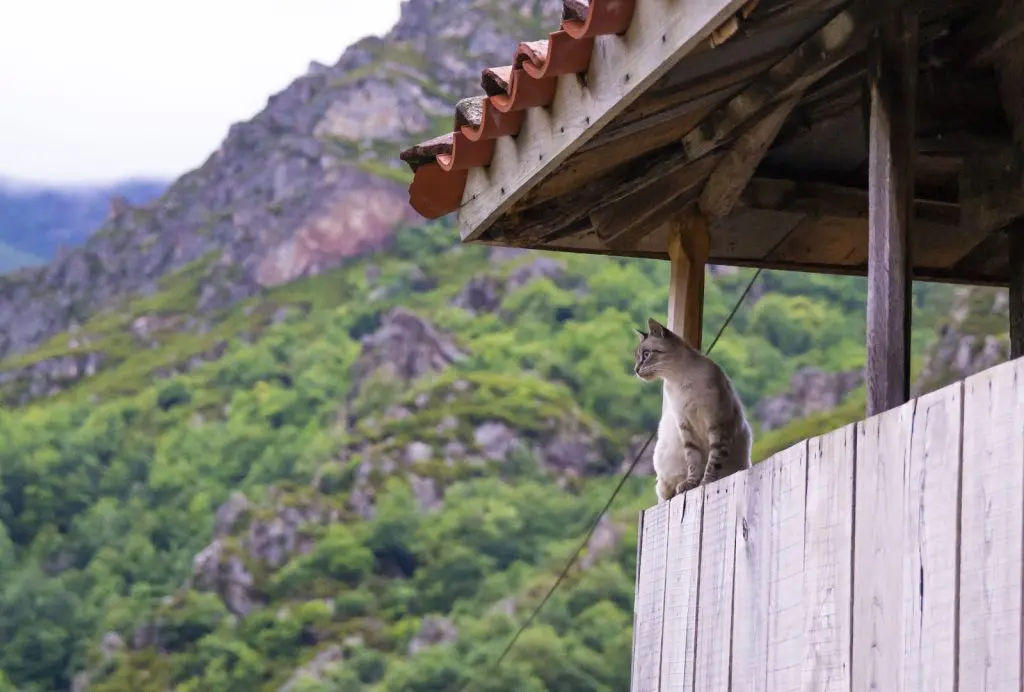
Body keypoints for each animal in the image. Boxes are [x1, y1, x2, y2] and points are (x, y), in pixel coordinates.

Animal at [630, 315, 753, 499]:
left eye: (646, 354)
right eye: (637, 357)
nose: (636, 370)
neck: (679, 379)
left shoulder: (715, 421)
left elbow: (713, 460)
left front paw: (706, 483)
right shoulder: (685, 424)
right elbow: (693, 461)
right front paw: (690, 485)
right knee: (666, 492)